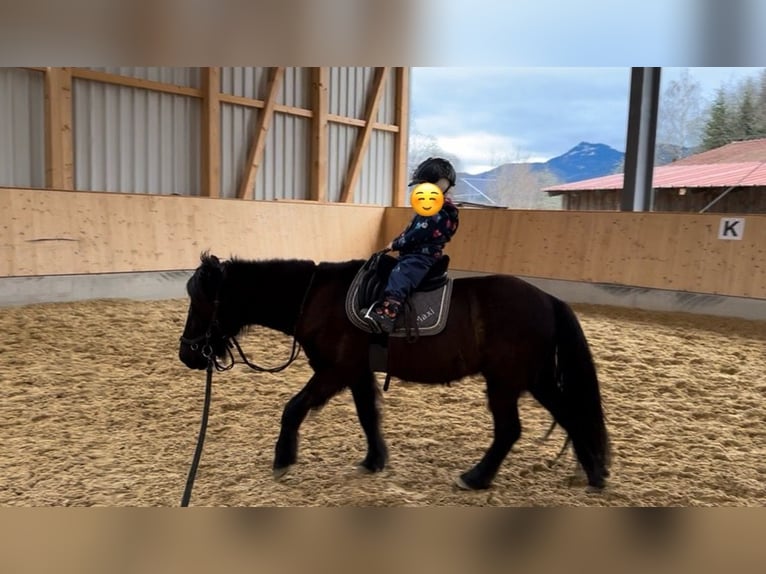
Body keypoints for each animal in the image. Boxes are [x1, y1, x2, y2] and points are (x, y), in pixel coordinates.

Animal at [178, 252, 610, 492]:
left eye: (201, 304)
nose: (188, 354)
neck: (316, 298)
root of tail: (548, 300)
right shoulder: (355, 373)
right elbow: (368, 415)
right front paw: (375, 460)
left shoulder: (335, 371)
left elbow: (294, 408)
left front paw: (283, 459)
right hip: (536, 379)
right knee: (571, 416)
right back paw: (594, 473)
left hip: (505, 381)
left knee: (510, 430)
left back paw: (475, 478)